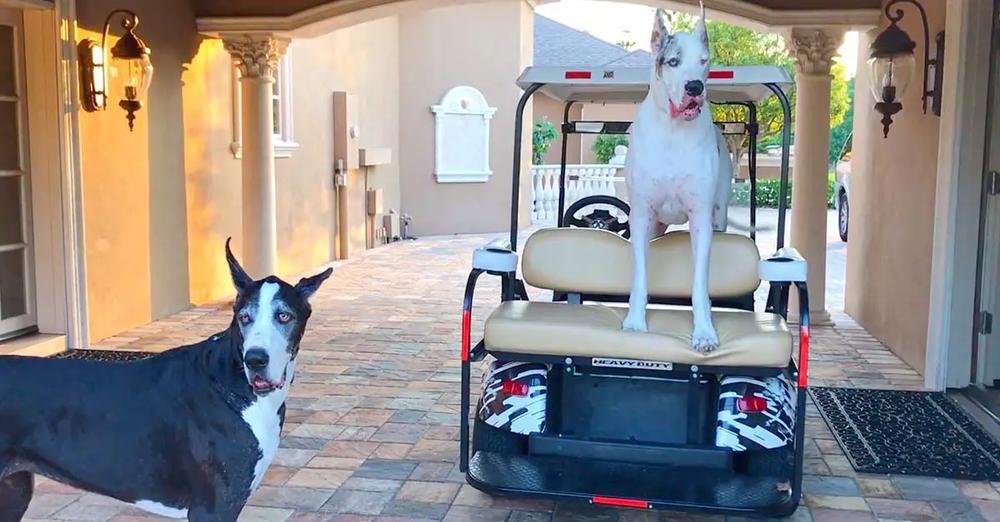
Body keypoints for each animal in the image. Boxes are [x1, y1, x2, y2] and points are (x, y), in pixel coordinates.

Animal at [0, 241, 336, 520]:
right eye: (244, 317)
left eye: (284, 316)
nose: (255, 360)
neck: (230, 380)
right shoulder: (213, 508)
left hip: (15, 491)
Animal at [624, 4, 736, 350]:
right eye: (673, 62)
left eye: (704, 61)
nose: (694, 88)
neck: (673, 131)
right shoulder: (641, 216)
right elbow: (640, 275)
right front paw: (635, 322)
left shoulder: (701, 219)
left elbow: (699, 283)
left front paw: (704, 332)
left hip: (718, 214)